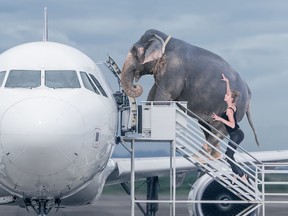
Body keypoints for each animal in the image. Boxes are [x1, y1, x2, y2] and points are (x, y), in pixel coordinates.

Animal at [120, 28, 260, 149]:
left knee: (219, 131)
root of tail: (249, 93)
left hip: (233, 108)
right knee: (207, 127)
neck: (165, 40)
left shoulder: (174, 71)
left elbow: (164, 96)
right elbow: (153, 92)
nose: (136, 85)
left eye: (134, 49)